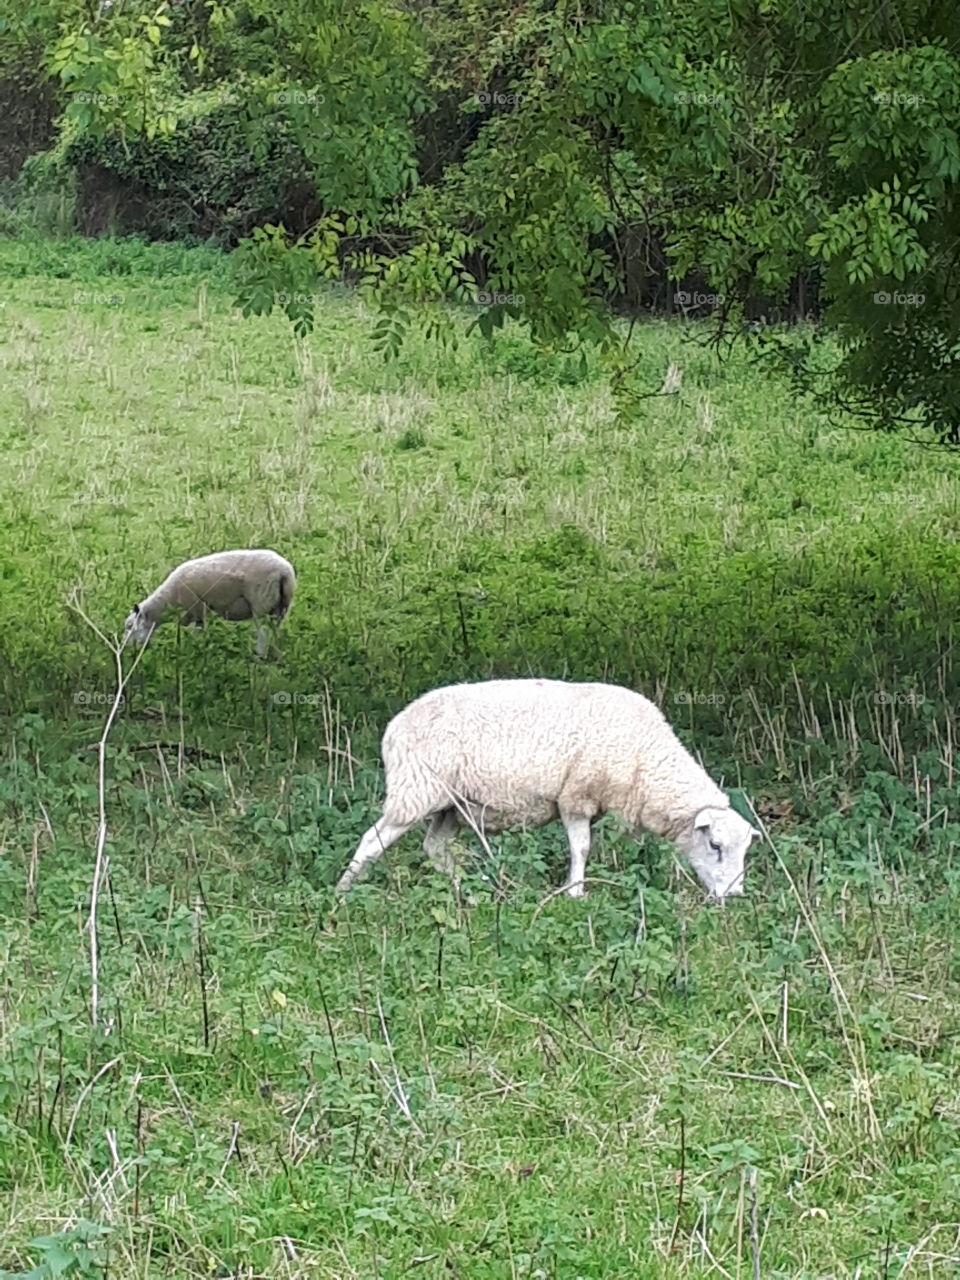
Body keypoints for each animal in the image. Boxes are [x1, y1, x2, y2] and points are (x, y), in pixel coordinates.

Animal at [124, 547, 296, 660]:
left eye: (130, 626)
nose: (126, 649)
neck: (168, 600)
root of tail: (285, 572)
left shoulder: (198, 608)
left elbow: (197, 634)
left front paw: (194, 651)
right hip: (280, 606)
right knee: (275, 631)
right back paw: (277, 655)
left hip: (260, 602)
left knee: (263, 632)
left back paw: (259, 657)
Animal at [335, 680, 762, 901]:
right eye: (715, 845)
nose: (735, 894)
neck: (647, 761)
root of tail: (395, 727)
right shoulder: (576, 796)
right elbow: (582, 848)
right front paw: (575, 892)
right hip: (416, 792)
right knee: (372, 841)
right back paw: (342, 892)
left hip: (452, 807)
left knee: (436, 848)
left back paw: (468, 890)